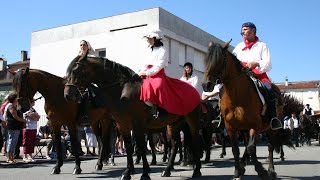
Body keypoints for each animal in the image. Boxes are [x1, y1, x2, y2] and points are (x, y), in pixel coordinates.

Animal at [63, 55, 201, 179]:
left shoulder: (137, 124)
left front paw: (145, 174)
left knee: (194, 141)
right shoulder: (123, 125)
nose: (67, 95)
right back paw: (167, 170)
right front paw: (127, 172)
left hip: (191, 120)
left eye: (75, 71)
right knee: (175, 144)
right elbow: (129, 146)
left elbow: (141, 146)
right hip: (173, 124)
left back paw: (196, 170)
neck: (122, 91)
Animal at [204, 41, 292, 180]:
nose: (206, 85)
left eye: (220, 60)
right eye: (206, 60)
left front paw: (262, 171)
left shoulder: (255, 125)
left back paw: (271, 170)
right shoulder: (230, 127)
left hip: (270, 128)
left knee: (270, 146)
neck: (237, 96)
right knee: (247, 146)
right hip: (244, 129)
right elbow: (236, 149)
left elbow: (251, 148)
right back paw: (243, 166)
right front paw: (237, 171)